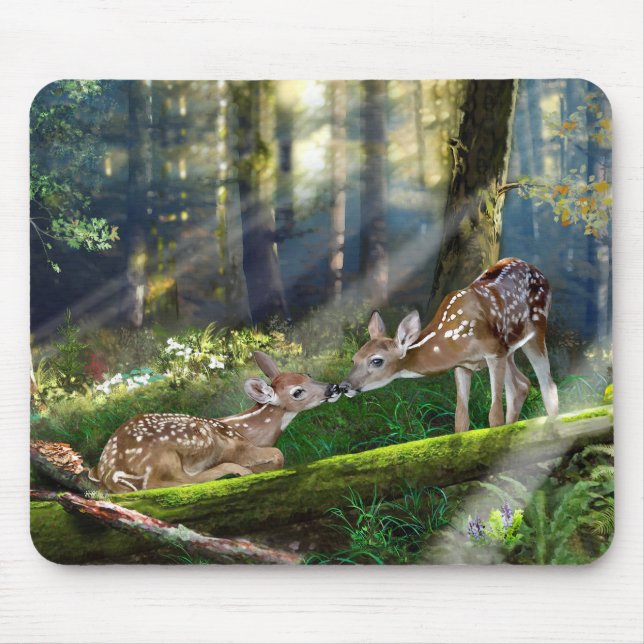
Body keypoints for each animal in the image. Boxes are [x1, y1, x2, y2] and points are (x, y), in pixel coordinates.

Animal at [89, 352, 342, 492]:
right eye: (298, 391)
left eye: (308, 374)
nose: (334, 388)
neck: (250, 431)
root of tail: (108, 470)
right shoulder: (239, 448)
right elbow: (278, 454)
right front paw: (258, 470)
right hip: (175, 451)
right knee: (169, 483)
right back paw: (236, 471)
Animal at [339, 258, 558, 432]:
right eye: (354, 358)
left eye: (376, 361)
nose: (344, 385)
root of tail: (537, 270)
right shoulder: (463, 365)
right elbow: (461, 418)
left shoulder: (493, 353)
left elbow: (494, 415)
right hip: (509, 349)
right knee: (520, 385)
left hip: (536, 329)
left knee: (548, 386)